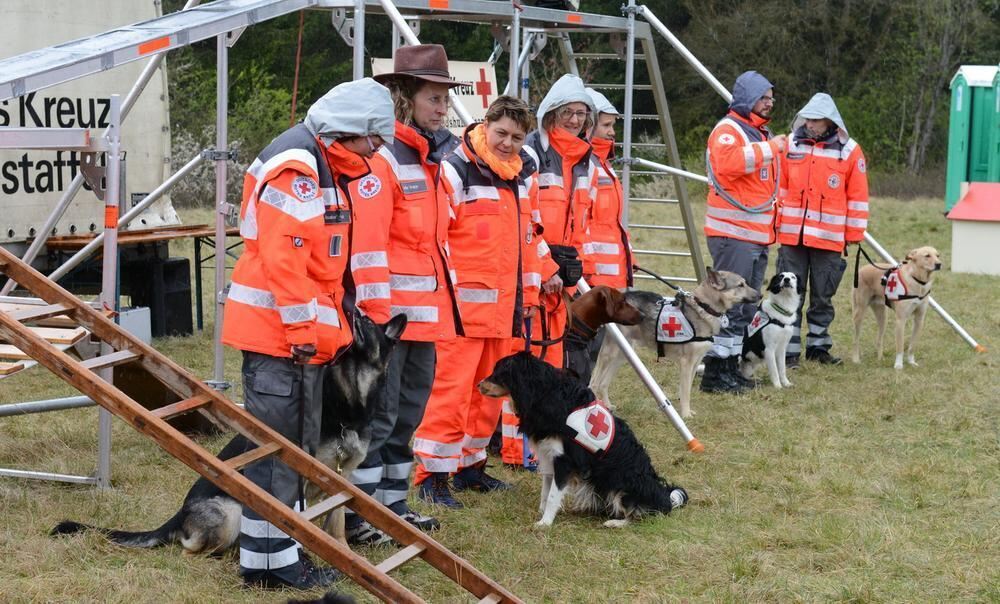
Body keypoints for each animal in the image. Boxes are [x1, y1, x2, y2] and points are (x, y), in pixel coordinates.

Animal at [51, 314, 406, 556]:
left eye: (368, 323)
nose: (352, 309)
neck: (349, 404)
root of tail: (178, 515)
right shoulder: (303, 480)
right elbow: (302, 520)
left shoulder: (342, 479)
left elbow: (336, 523)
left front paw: (342, 549)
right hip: (230, 515)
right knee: (190, 550)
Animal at [478, 352, 688, 528]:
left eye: (497, 373)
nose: (478, 384)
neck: (545, 393)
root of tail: (664, 498)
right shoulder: (548, 455)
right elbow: (546, 490)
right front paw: (541, 512)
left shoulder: (564, 460)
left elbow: (553, 494)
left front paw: (545, 523)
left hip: (623, 482)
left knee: (641, 514)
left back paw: (615, 522)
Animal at [588, 270, 760, 420]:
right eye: (740, 285)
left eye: (745, 283)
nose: (761, 295)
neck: (703, 308)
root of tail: (623, 295)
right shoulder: (686, 364)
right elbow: (685, 393)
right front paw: (685, 415)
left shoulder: (696, 363)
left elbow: (687, 389)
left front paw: (687, 411)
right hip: (610, 353)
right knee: (594, 383)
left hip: (623, 354)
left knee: (603, 384)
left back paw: (608, 406)